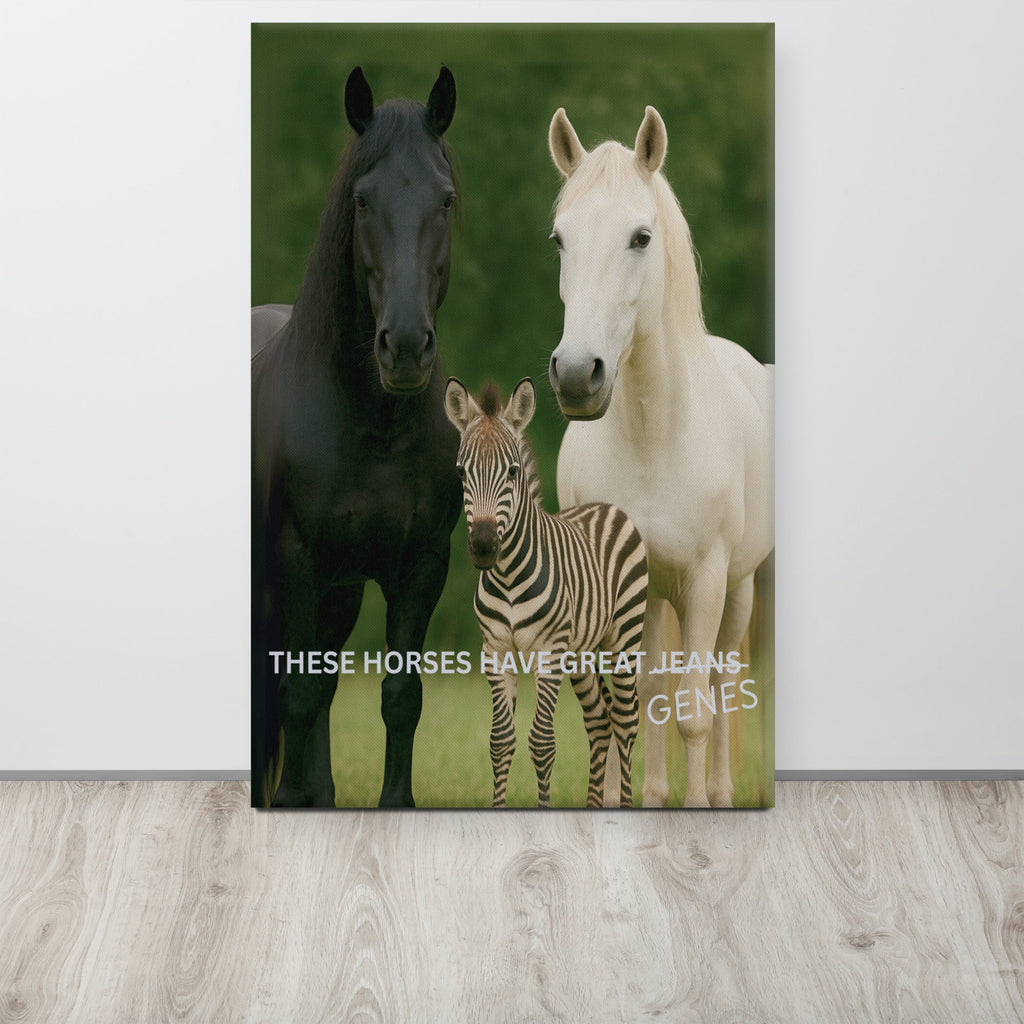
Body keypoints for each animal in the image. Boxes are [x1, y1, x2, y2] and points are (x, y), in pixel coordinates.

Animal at [251, 67, 462, 807]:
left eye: (445, 198)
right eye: (363, 200)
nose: (404, 347)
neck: (374, 426)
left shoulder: (420, 566)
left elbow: (399, 697)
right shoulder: (296, 561)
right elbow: (297, 694)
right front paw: (291, 802)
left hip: (337, 595)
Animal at [546, 105, 774, 808]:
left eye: (640, 237)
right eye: (559, 240)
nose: (576, 375)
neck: (655, 438)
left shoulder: (706, 581)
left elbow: (696, 709)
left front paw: (696, 805)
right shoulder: (627, 587)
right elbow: (640, 698)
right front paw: (641, 800)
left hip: (737, 591)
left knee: (722, 680)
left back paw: (721, 793)